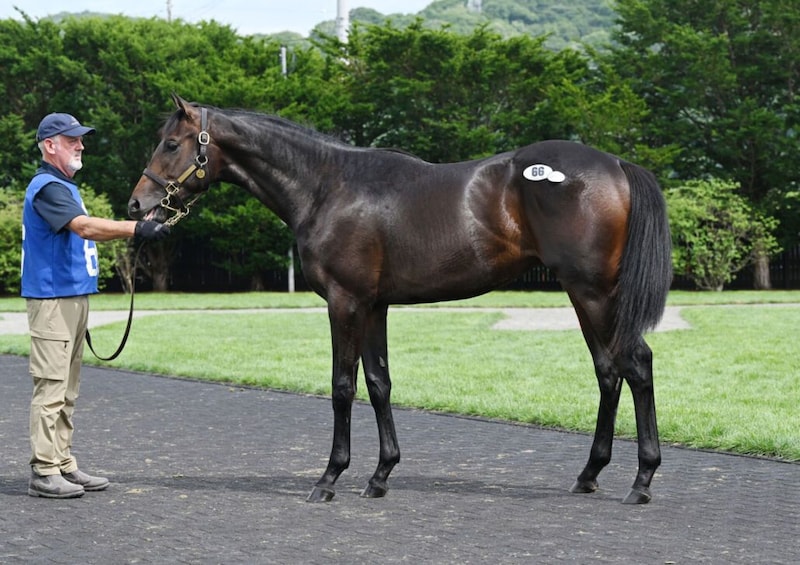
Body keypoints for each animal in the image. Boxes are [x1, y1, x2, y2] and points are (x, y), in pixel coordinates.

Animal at [128, 94, 672, 505]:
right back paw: (589, 474)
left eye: (171, 143)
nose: (137, 205)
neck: (327, 186)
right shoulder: (374, 305)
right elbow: (379, 383)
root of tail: (617, 164)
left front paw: (329, 479)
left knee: (637, 364)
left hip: (593, 292)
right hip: (584, 296)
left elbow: (343, 386)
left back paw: (643, 480)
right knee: (608, 371)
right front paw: (380, 475)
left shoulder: (344, 302)